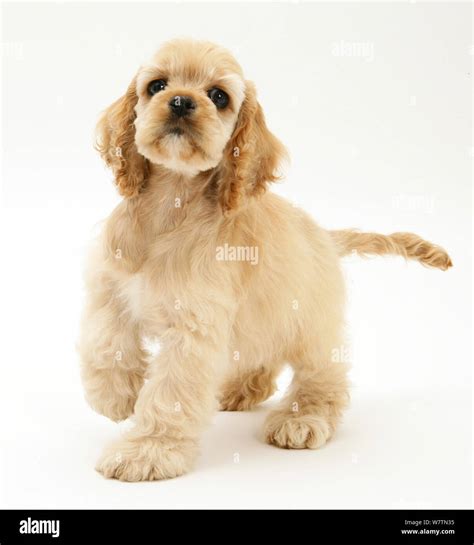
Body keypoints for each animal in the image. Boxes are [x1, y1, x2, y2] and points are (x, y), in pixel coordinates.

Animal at [79, 38, 454, 480]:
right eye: (156, 86)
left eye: (218, 96)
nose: (181, 102)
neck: (170, 206)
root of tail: (325, 237)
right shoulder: (109, 288)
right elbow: (103, 343)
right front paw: (117, 397)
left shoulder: (192, 329)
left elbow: (170, 393)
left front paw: (147, 450)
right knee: (263, 356)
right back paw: (240, 389)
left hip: (312, 328)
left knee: (324, 376)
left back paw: (302, 418)